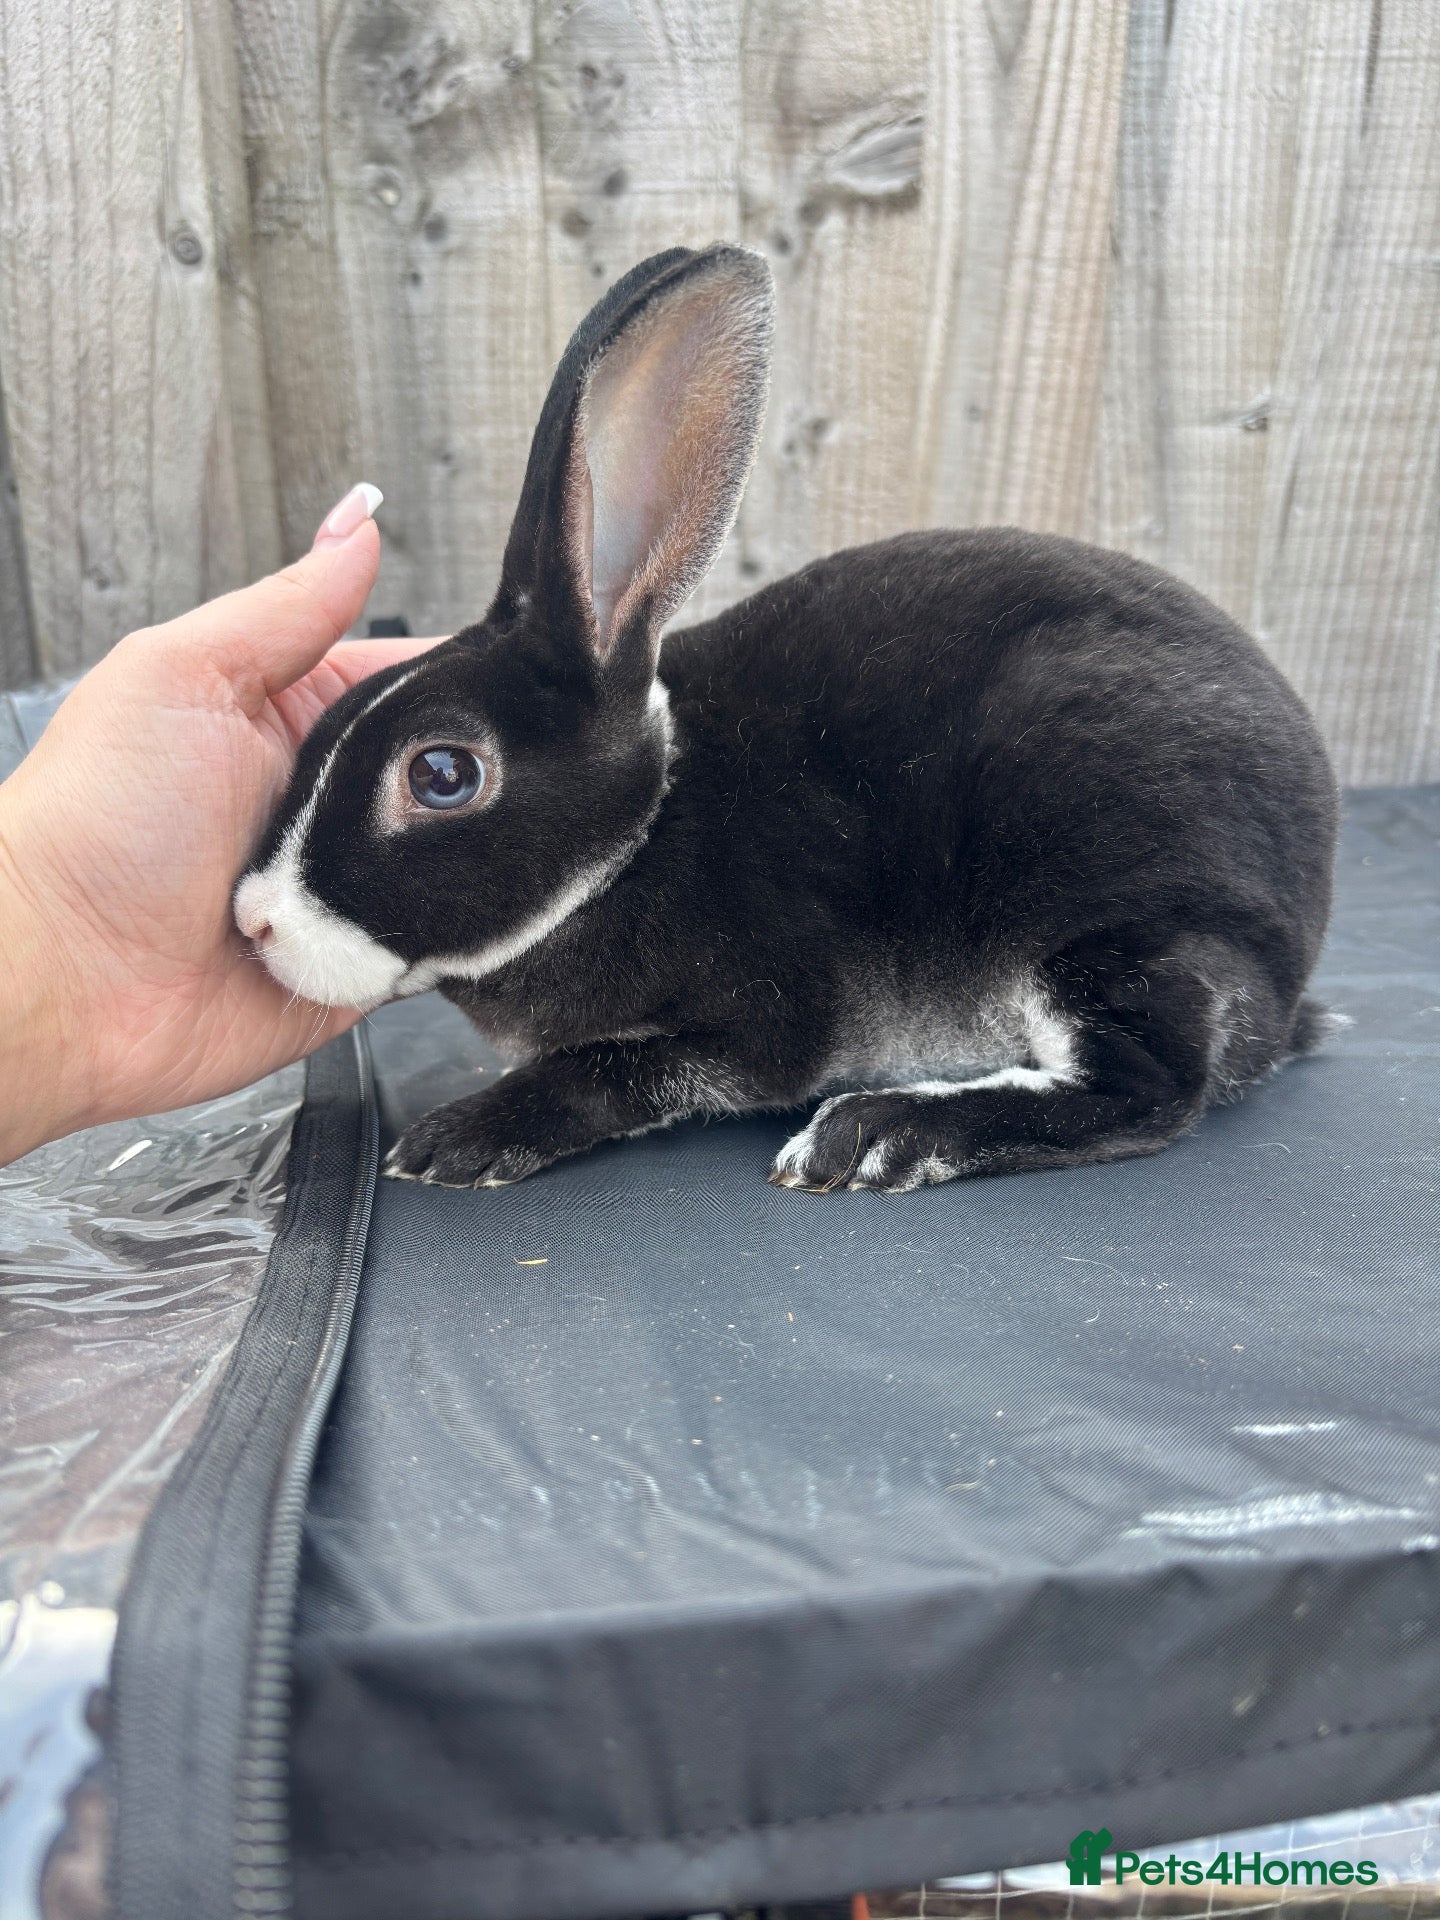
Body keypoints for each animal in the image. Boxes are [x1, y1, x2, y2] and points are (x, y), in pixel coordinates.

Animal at [234, 242, 1339, 1195]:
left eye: (443, 775)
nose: (253, 920)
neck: (637, 841)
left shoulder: (762, 1020)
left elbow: (610, 1072)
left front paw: (458, 1139)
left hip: (1102, 904)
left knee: (1149, 1088)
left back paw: (877, 1133)